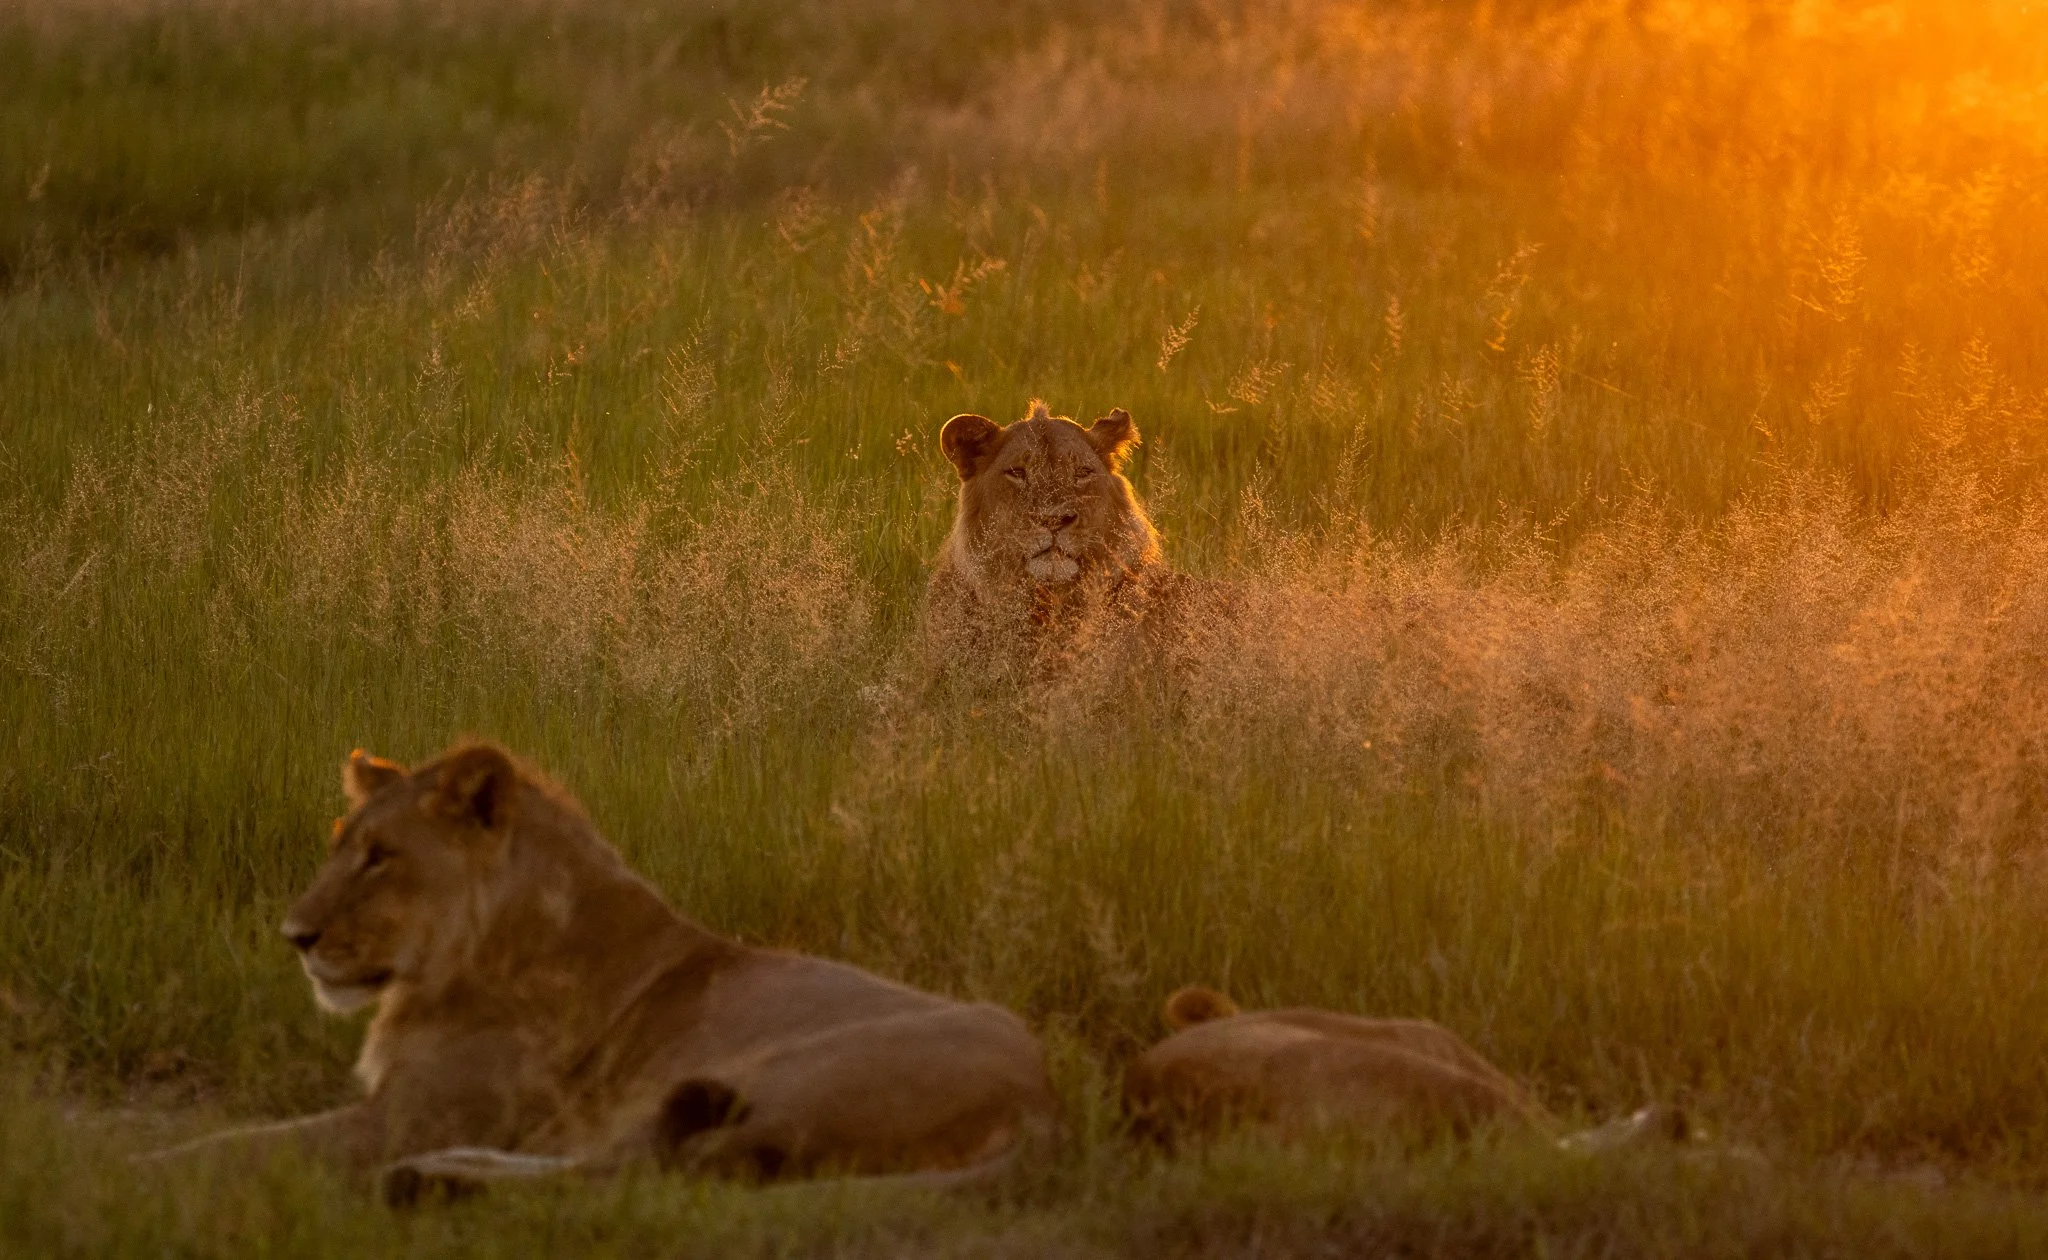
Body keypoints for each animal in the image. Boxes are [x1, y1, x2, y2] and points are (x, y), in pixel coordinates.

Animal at [147, 743, 1058, 1202]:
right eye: (341, 844)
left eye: (381, 857)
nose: (293, 936)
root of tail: (1047, 1106)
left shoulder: (410, 1114)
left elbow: (239, 1146)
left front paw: (131, 1170)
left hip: (794, 1068)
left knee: (660, 1175)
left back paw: (432, 1183)